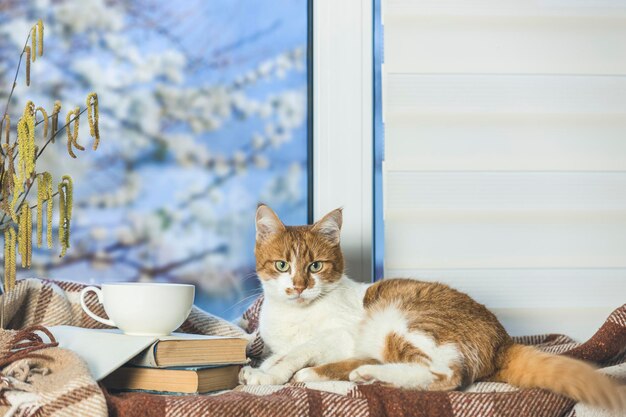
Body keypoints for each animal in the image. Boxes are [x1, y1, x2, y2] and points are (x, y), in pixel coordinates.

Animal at [239, 205, 624, 410]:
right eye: (282, 266)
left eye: (316, 266)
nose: (298, 286)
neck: (295, 316)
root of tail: (503, 339)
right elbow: (277, 355)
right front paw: (259, 370)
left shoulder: (341, 335)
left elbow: (294, 354)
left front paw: (268, 375)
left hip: (403, 321)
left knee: (447, 374)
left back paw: (361, 375)